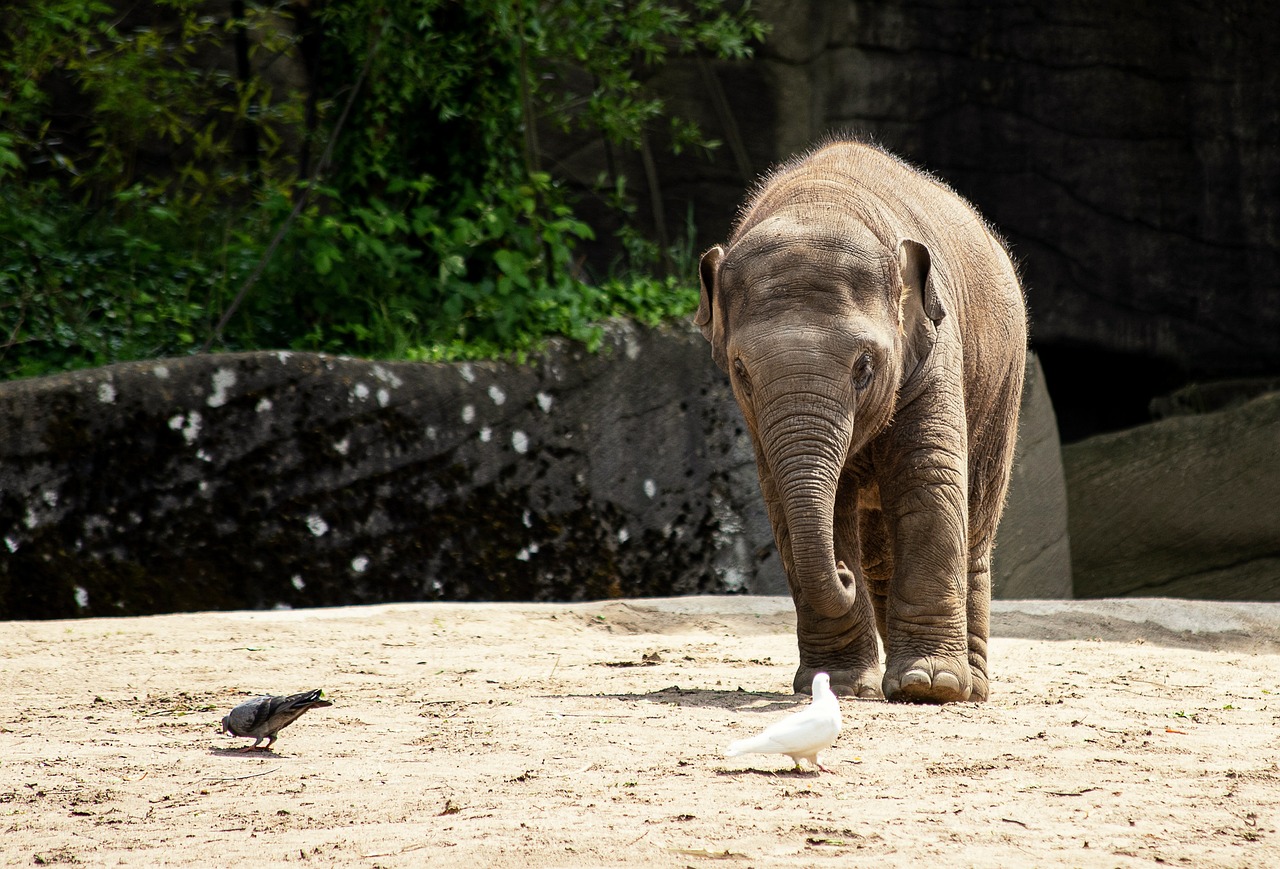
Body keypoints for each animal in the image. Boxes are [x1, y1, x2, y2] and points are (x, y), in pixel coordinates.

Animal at [696, 139, 1034, 701]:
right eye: (741, 370)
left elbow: (927, 482)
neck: (818, 202)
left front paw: (928, 686)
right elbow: (793, 505)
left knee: (976, 517)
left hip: (1004, 380)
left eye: (865, 367)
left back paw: (968, 688)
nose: (839, 570)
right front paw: (840, 686)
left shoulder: (935, 351)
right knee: (878, 547)